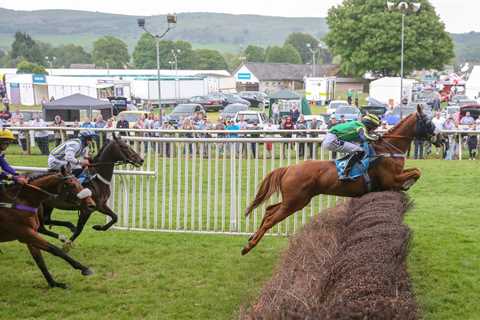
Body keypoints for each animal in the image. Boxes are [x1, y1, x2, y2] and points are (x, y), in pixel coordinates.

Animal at [242, 107, 440, 255]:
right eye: (428, 122)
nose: (441, 137)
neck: (388, 150)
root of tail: (288, 168)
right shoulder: (391, 180)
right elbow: (416, 172)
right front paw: (408, 185)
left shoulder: (395, 176)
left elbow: (416, 171)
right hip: (295, 202)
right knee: (271, 219)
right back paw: (248, 246)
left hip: (294, 200)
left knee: (269, 210)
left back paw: (252, 237)